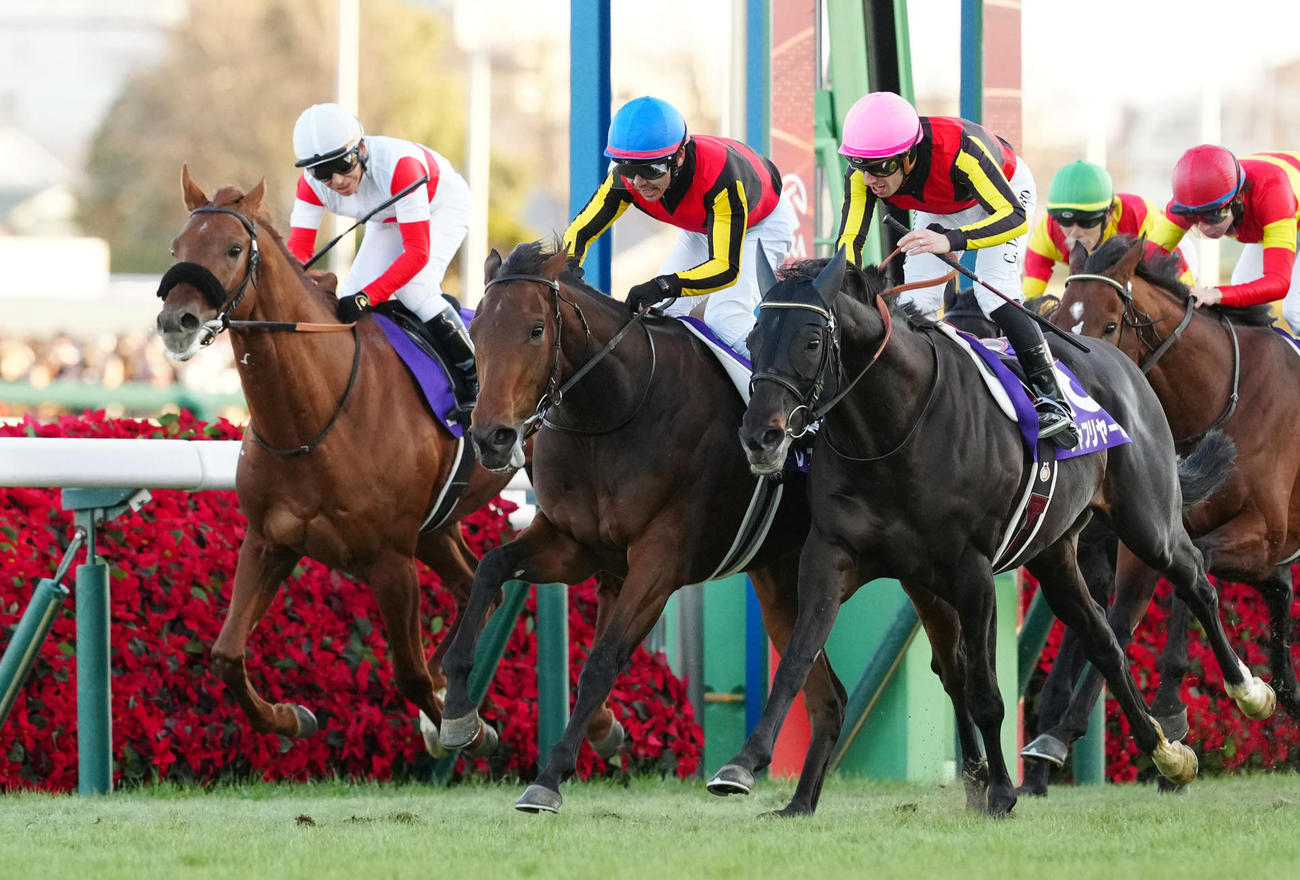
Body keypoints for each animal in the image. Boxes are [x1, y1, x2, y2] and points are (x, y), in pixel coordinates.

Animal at [154, 166, 509, 758]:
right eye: (176, 247)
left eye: (232, 249)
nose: (175, 321)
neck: (312, 420)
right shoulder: (269, 540)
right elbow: (226, 655)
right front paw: (291, 717)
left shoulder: (390, 560)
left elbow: (409, 675)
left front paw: (468, 732)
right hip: (438, 523)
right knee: (475, 587)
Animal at [713, 251, 1275, 817]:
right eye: (753, 338)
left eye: (811, 341)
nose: (760, 437)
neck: (893, 430)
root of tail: (1123, 363)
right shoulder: (835, 556)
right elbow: (798, 659)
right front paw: (759, 774)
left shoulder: (973, 569)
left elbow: (984, 689)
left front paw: (1002, 792)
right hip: (1054, 556)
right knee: (1104, 641)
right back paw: (1164, 753)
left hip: (1149, 523)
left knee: (1196, 580)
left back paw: (1249, 692)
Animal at [1020, 236, 1300, 793]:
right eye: (1057, 316)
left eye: (1110, 325)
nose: (1065, 383)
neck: (1221, 402)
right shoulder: (1147, 538)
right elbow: (1120, 621)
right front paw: (1057, 737)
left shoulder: (1264, 532)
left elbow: (1194, 577)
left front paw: (1172, 707)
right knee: (1279, 589)